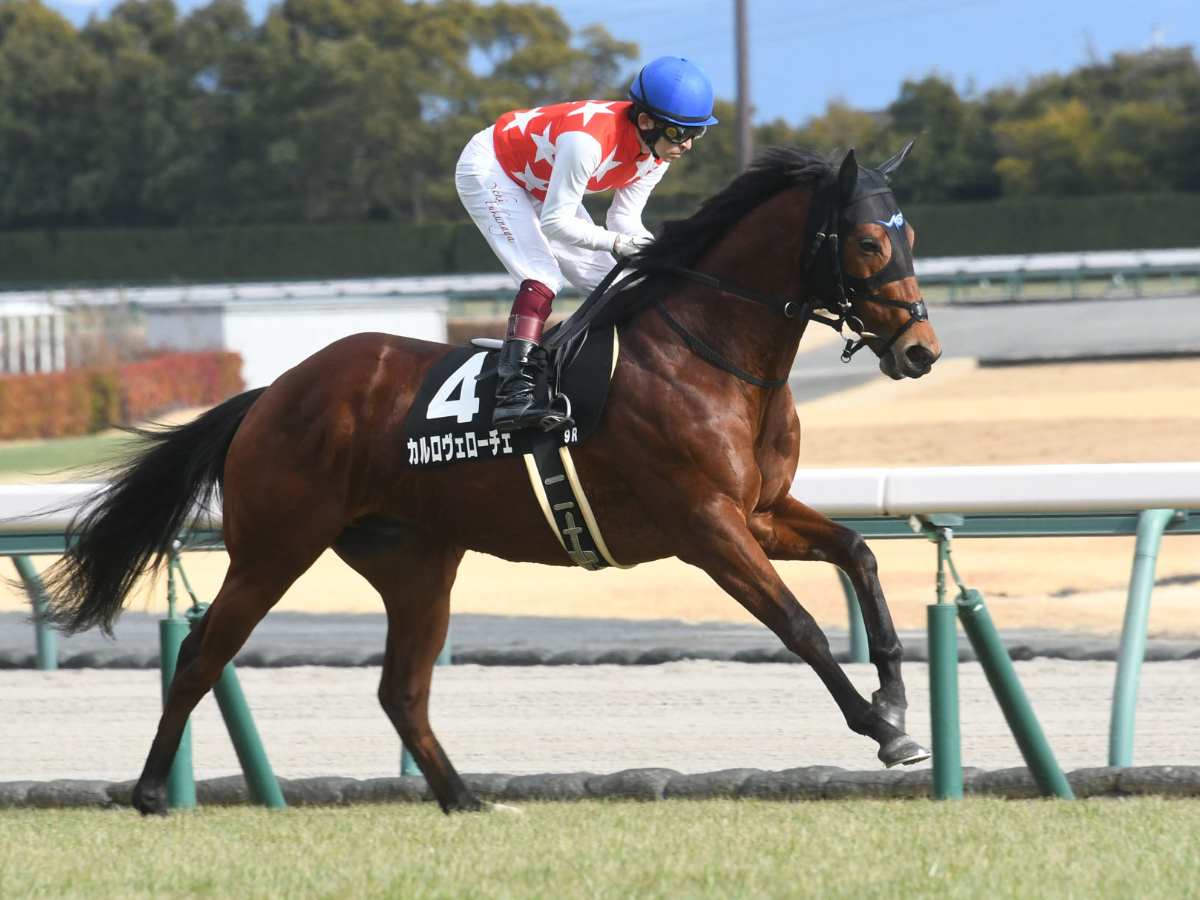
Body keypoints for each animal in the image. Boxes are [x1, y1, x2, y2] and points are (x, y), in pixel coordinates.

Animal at [46, 142, 940, 816]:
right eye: (868, 242)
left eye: (911, 237)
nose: (921, 350)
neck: (708, 351)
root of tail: (272, 393)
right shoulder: (703, 522)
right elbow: (800, 625)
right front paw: (883, 729)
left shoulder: (759, 508)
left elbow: (858, 553)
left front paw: (897, 696)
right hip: (275, 547)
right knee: (203, 654)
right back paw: (151, 792)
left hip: (414, 559)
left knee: (402, 690)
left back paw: (465, 799)